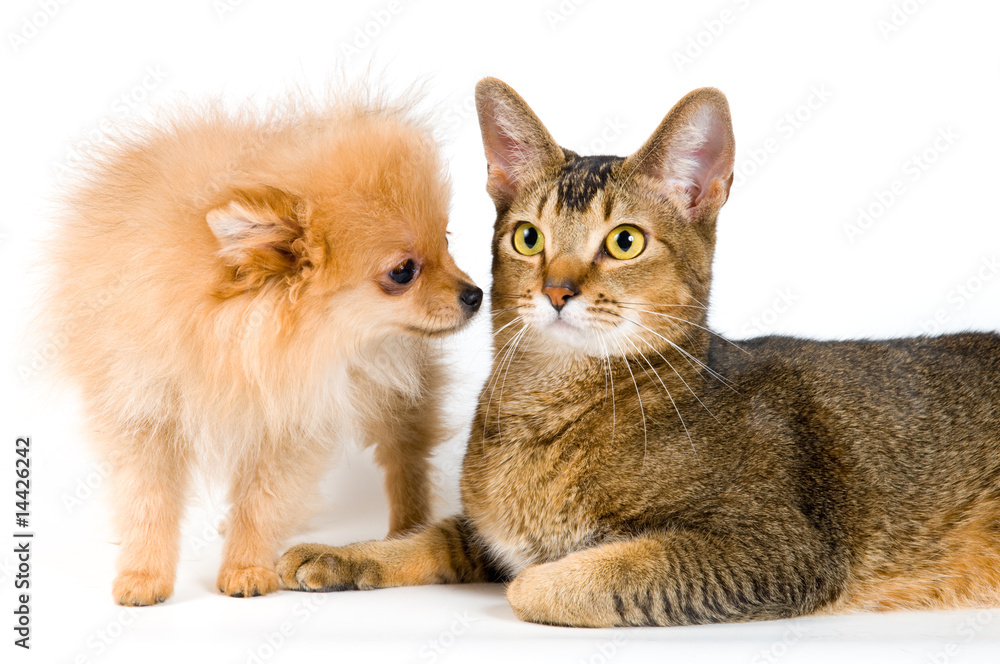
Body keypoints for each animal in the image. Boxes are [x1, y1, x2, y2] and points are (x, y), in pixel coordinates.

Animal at [45, 91, 482, 604]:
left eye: (447, 241)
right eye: (403, 271)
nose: (475, 294)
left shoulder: (292, 418)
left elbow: (262, 501)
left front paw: (247, 565)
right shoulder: (144, 407)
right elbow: (148, 501)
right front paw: (143, 572)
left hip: (396, 385)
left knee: (405, 456)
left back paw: (405, 528)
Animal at [278, 78, 1000, 628]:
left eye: (624, 242)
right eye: (528, 237)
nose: (557, 290)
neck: (543, 407)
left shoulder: (778, 546)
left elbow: (575, 575)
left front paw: (543, 578)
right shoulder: (485, 530)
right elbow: (432, 536)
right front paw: (346, 555)